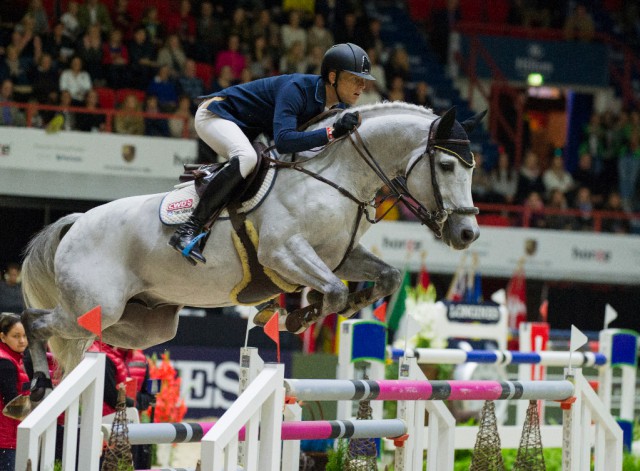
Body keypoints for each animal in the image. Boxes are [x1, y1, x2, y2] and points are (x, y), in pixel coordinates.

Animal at [20, 102, 482, 399]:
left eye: (472, 168)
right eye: (446, 166)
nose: (467, 233)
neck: (337, 177)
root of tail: (76, 221)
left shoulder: (339, 256)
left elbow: (386, 277)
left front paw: (343, 305)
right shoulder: (283, 253)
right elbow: (332, 291)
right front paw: (300, 315)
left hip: (139, 324)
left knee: (78, 339)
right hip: (93, 308)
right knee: (34, 321)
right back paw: (36, 384)